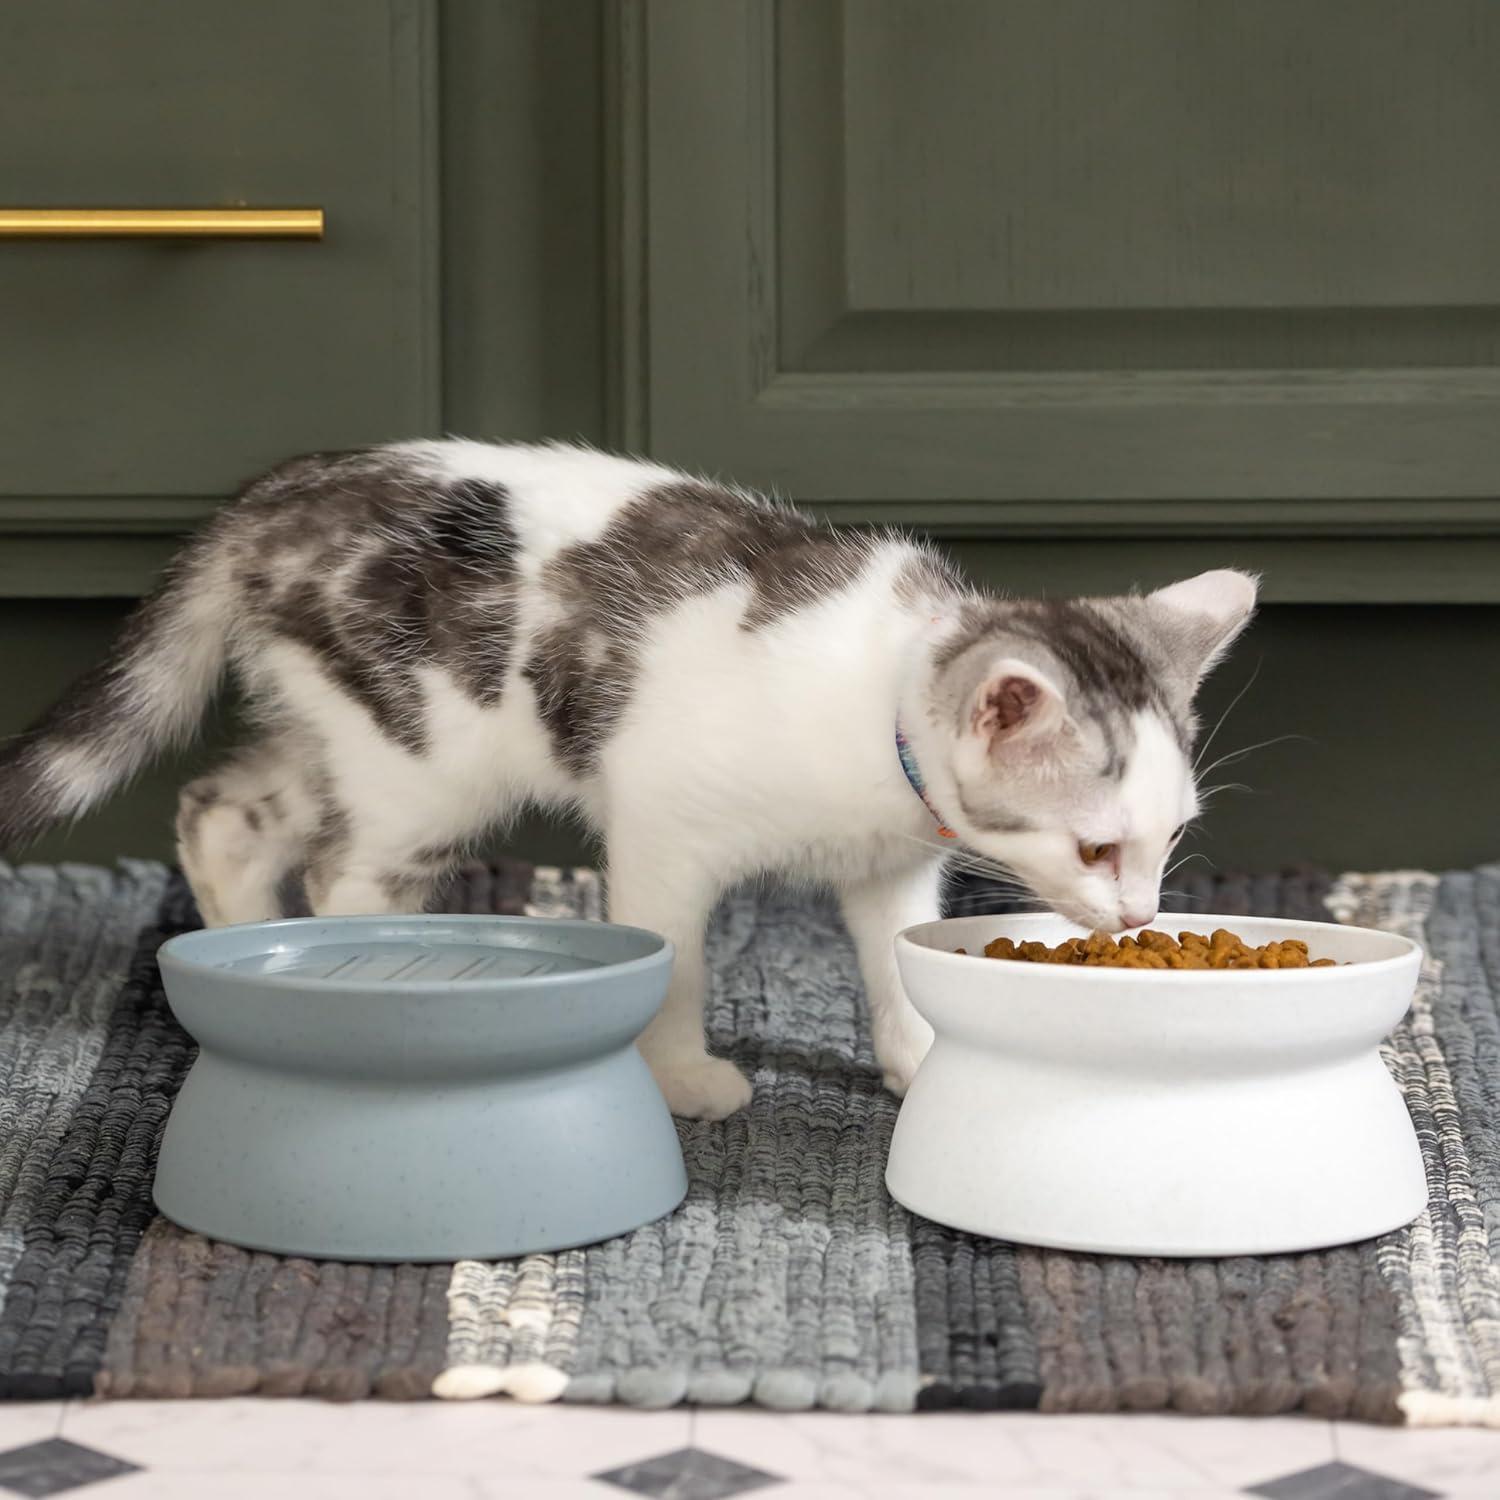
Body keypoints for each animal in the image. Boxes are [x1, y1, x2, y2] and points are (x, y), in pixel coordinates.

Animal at [0, 438, 1254, 1122]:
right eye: (1095, 845)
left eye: (1168, 841)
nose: (1138, 915)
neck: (877, 703)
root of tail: (271, 498)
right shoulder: (663, 833)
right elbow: (678, 964)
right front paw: (684, 1077)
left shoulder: (890, 863)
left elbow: (894, 965)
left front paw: (918, 1058)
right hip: (426, 764)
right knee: (344, 878)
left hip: (338, 730)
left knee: (223, 815)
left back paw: (232, 954)